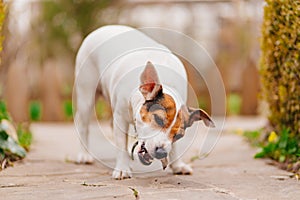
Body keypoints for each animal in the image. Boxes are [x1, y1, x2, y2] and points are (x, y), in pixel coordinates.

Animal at [75, 25, 216, 180]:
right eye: (158, 119)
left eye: (179, 135)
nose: (161, 152)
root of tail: (104, 28)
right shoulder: (120, 118)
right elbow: (120, 143)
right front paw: (122, 168)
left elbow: (174, 148)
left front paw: (177, 165)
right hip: (86, 97)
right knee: (83, 125)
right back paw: (84, 155)